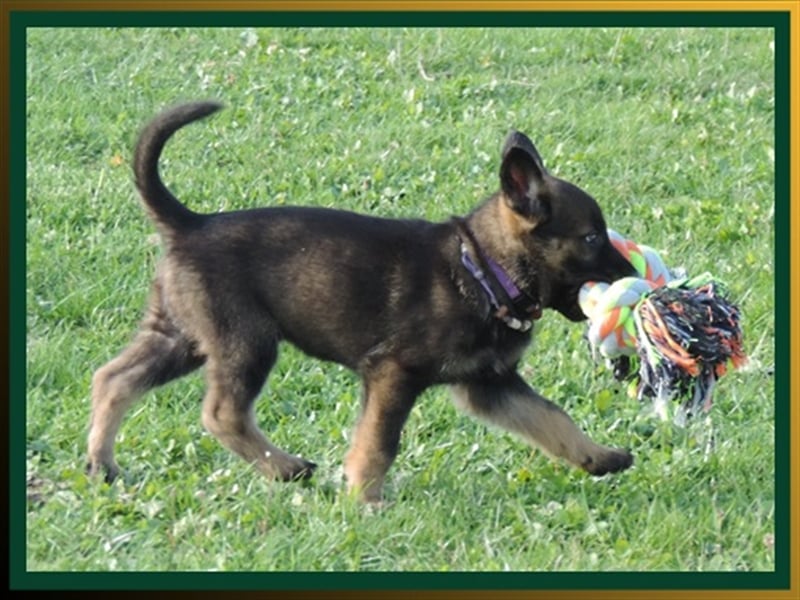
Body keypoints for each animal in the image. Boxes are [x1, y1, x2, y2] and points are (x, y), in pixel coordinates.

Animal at [87, 102, 636, 502]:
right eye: (592, 238)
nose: (634, 277)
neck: (483, 271)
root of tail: (190, 223)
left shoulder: (489, 384)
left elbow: (550, 417)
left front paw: (599, 456)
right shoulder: (394, 374)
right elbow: (379, 443)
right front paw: (365, 498)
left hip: (180, 335)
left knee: (113, 378)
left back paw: (102, 464)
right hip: (246, 340)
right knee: (222, 413)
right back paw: (285, 468)